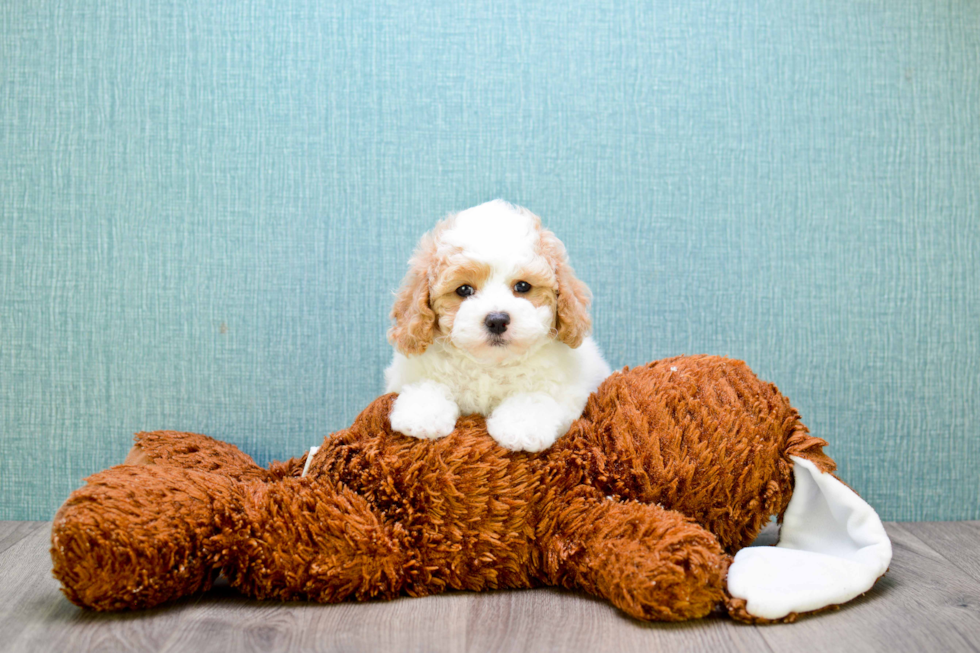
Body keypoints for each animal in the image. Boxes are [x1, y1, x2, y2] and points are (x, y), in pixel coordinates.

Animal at [384, 201, 608, 450]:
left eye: (522, 286)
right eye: (464, 289)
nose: (497, 320)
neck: (489, 365)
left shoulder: (568, 391)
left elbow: (535, 396)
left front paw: (521, 426)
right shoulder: (408, 374)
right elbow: (426, 384)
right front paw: (422, 414)